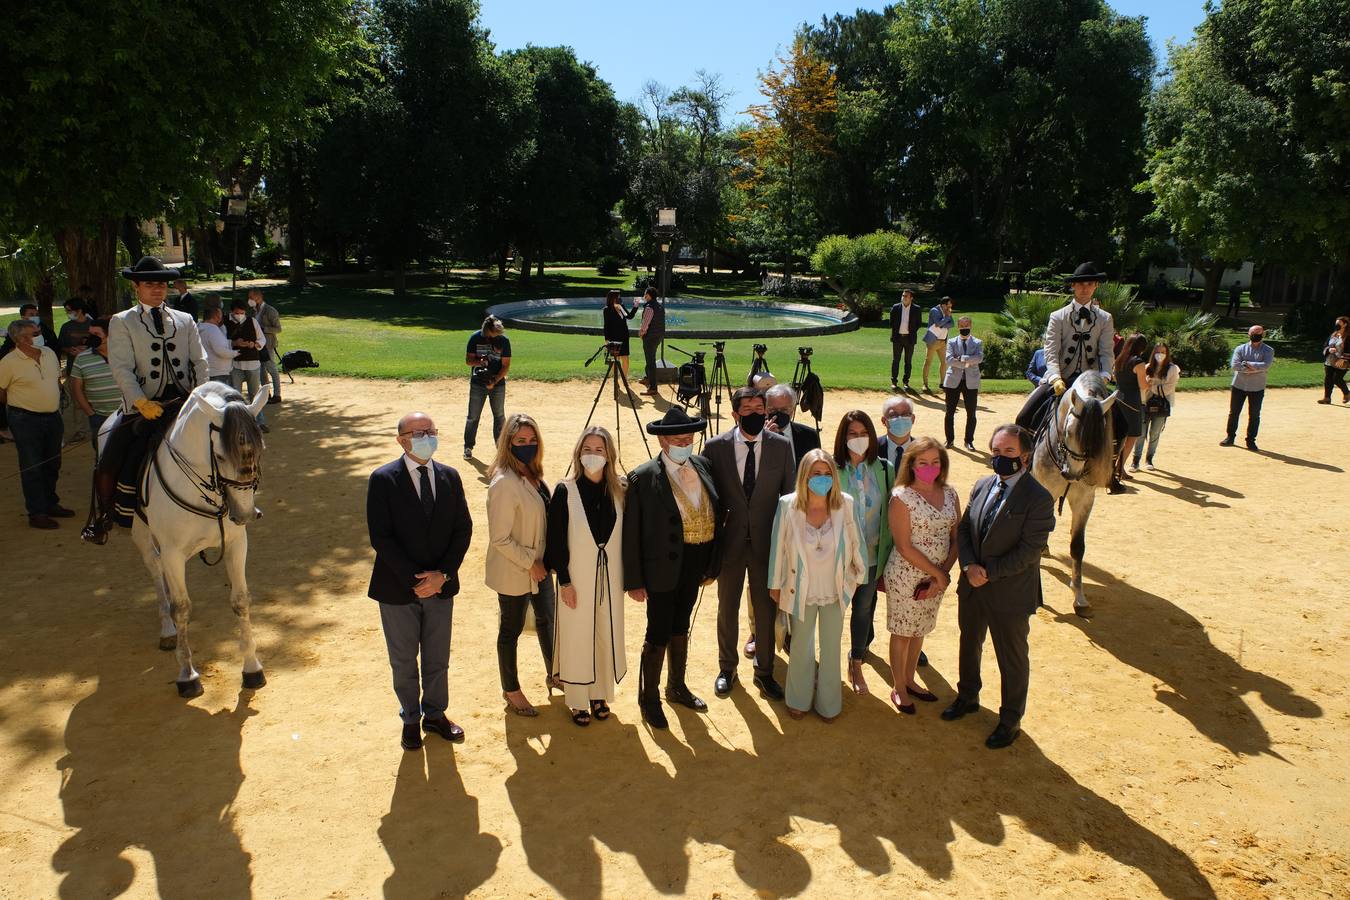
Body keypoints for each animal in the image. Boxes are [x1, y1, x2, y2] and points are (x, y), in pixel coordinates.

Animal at [127, 380, 270, 696]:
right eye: (220, 456)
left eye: (260, 449)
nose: (245, 514)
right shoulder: (172, 553)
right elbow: (181, 608)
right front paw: (187, 675)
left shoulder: (237, 544)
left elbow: (240, 600)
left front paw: (251, 668)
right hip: (142, 536)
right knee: (156, 571)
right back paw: (168, 630)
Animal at [1031, 372, 1117, 620]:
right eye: (1069, 432)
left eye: (1097, 438)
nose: (1071, 474)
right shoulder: (1044, 491)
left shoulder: (1085, 500)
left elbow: (1078, 546)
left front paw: (1079, 598)